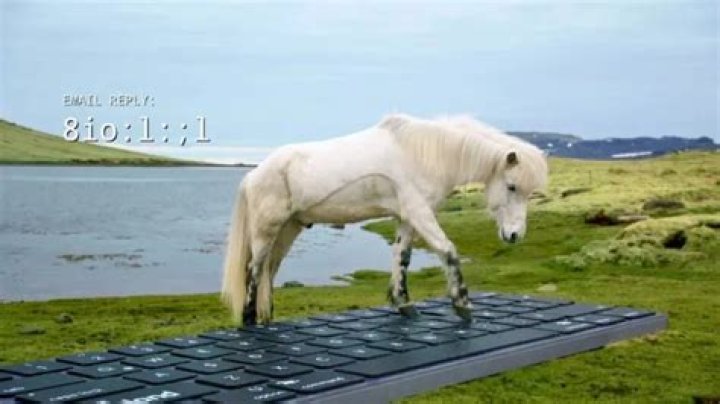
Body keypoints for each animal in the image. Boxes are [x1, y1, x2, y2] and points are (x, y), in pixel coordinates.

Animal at [222, 113, 548, 325]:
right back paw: (249, 320)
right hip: (266, 230)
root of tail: (254, 174)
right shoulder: (420, 212)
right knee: (254, 269)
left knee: (269, 271)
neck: (423, 152)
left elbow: (401, 256)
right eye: (512, 187)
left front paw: (403, 303)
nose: (515, 236)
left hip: (288, 229)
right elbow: (447, 250)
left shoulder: (408, 217)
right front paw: (463, 306)